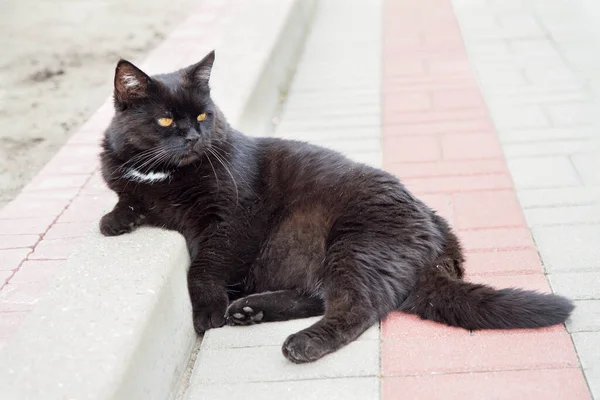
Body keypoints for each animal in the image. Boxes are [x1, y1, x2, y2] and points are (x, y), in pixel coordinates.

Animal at [101, 51, 576, 364]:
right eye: (166, 120)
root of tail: (437, 236)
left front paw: (207, 312)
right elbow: (127, 197)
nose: (194, 138)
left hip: (356, 246)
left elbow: (204, 267)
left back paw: (301, 343)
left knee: (355, 308)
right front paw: (113, 220)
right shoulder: (132, 182)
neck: (166, 175)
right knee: (319, 296)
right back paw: (252, 309)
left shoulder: (232, 220)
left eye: (203, 116)